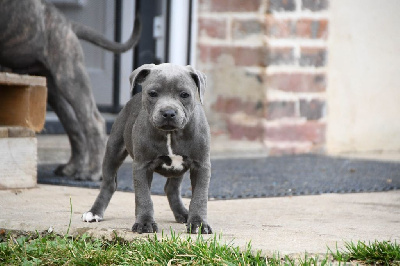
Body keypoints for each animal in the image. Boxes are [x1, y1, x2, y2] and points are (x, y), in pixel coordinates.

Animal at [0, 0, 141, 181]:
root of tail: (67, 24)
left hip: (70, 78)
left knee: (93, 122)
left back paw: (93, 172)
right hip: (55, 90)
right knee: (74, 126)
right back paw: (73, 167)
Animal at [82, 63, 212, 234]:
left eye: (185, 94)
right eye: (153, 93)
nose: (168, 112)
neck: (170, 134)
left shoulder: (201, 165)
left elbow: (199, 197)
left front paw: (198, 223)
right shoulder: (142, 166)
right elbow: (143, 197)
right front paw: (145, 223)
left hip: (178, 169)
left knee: (171, 188)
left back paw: (183, 213)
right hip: (113, 150)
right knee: (108, 184)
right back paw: (94, 212)